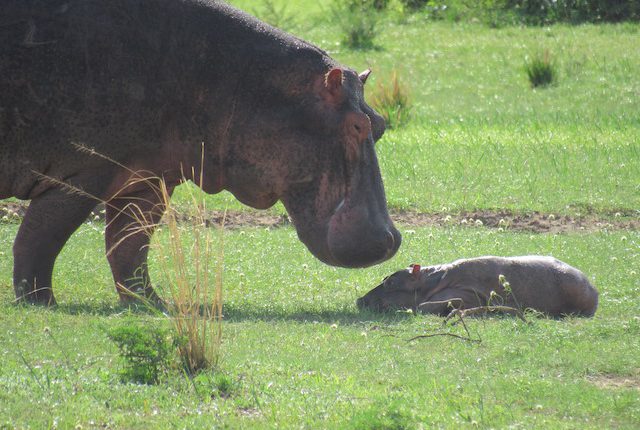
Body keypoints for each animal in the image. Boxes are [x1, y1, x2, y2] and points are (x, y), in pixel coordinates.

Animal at [0, 1, 400, 308]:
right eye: (356, 126)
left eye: (380, 123)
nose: (392, 238)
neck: (240, 81)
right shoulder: (80, 174)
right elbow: (42, 237)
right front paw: (40, 303)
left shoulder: (147, 179)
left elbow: (129, 243)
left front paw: (151, 305)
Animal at [358, 256, 596, 318]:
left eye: (390, 281)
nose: (360, 299)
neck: (429, 282)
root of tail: (594, 290)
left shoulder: (467, 291)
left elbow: (426, 305)